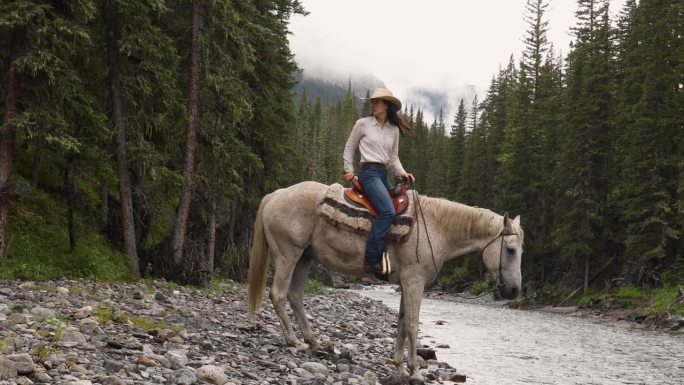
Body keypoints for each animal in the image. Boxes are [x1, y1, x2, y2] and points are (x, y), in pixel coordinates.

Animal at [248, 181, 520, 384]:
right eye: (511, 250)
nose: (515, 290)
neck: (435, 229)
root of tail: (275, 195)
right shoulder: (414, 282)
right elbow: (412, 325)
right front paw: (416, 370)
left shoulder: (404, 283)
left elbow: (400, 322)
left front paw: (398, 365)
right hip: (288, 254)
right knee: (278, 294)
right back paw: (294, 341)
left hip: (305, 258)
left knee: (295, 297)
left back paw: (314, 342)